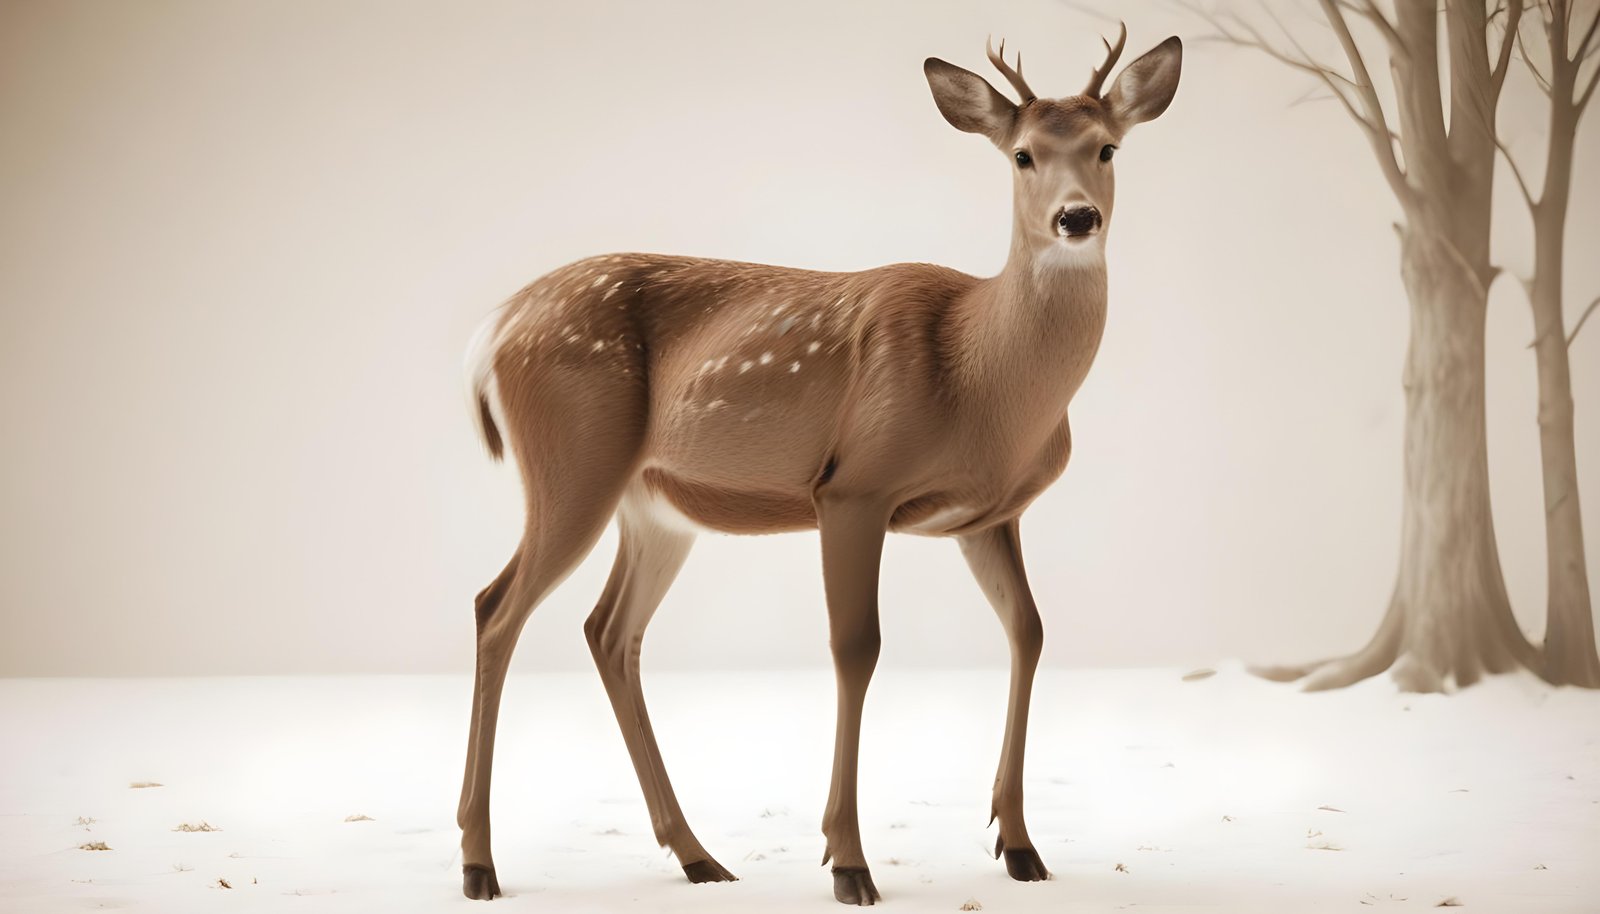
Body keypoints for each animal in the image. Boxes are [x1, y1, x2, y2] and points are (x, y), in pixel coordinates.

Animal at [456, 25, 1181, 905]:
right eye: (1022, 155)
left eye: (1108, 147)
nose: (1076, 217)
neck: (981, 378)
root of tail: (495, 329)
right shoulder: (853, 486)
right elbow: (856, 646)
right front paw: (849, 862)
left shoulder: (991, 514)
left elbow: (1030, 632)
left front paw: (1018, 845)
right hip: (573, 463)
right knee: (496, 608)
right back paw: (479, 863)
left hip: (655, 507)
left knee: (608, 630)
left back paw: (698, 856)